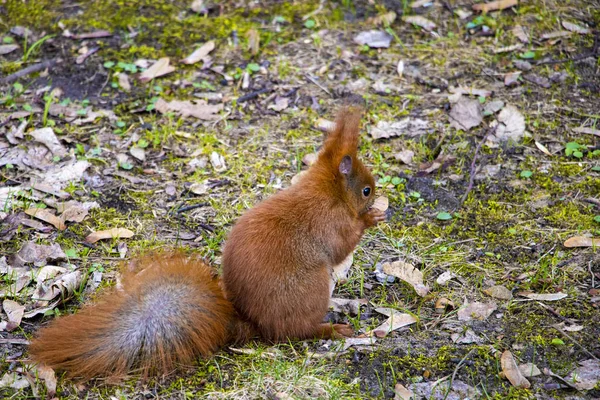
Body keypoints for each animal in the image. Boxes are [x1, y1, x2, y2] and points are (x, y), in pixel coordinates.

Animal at [28, 105, 384, 378]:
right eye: (366, 189)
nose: (376, 195)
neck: (328, 191)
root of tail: (254, 324)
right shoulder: (331, 221)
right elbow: (342, 245)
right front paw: (371, 218)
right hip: (311, 291)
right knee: (295, 332)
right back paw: (330, 329)